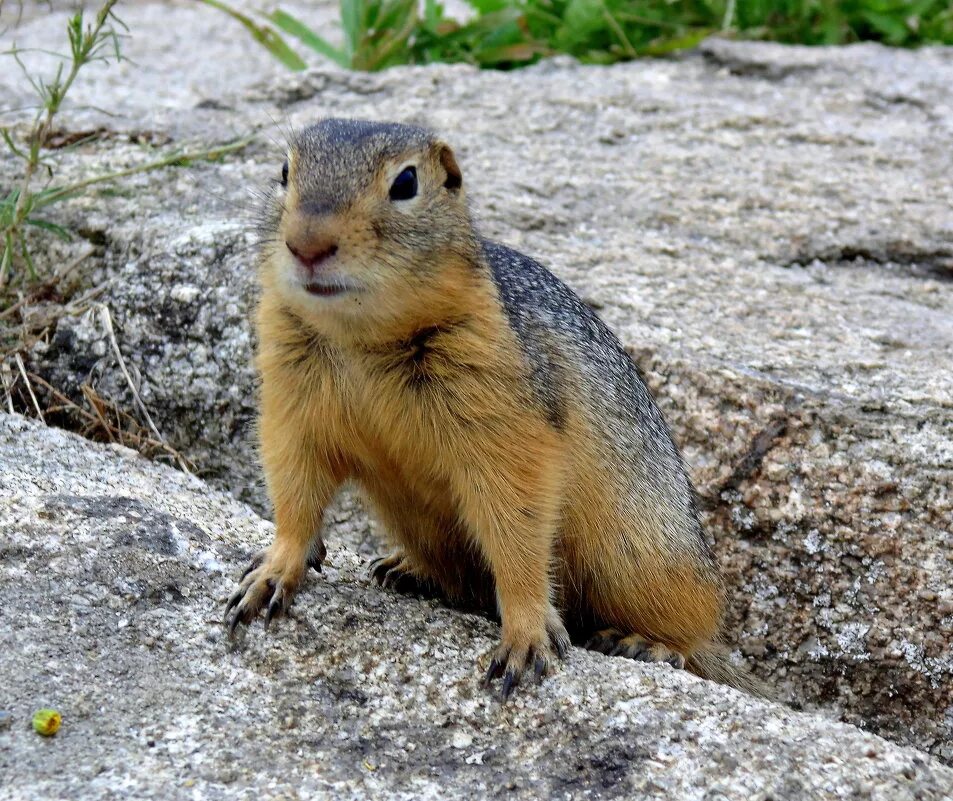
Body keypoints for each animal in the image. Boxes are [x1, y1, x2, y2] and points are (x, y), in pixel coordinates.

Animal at [225, 119, 768, 700]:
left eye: (406, 182)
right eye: (285, 171)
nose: (306, 244)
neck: (360, 338)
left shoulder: (501, 408)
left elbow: (516, 521)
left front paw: (524, 639)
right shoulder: (289, 397)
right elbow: (294, 488)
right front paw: (269, 575)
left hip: (644, 561)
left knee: (700, 636)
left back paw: (649, 643)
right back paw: (404, 568)